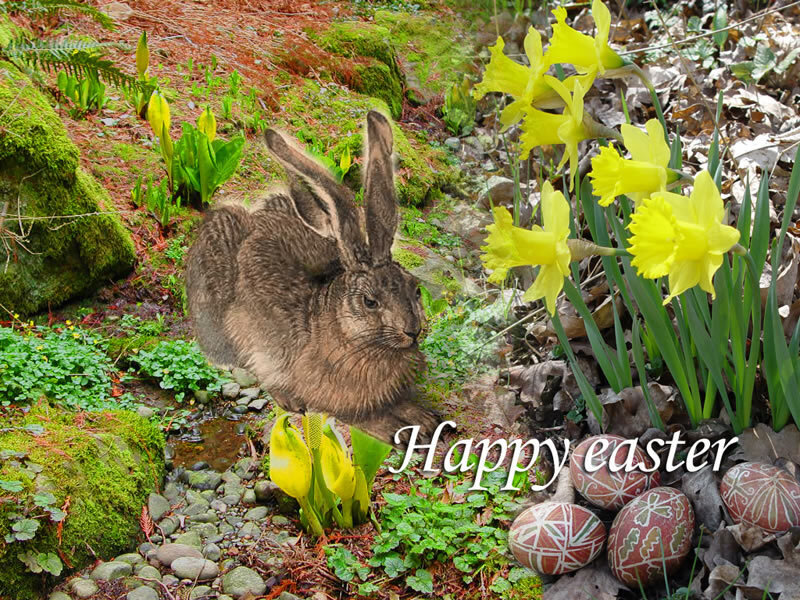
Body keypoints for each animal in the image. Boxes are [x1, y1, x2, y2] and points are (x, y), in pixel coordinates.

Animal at [185, 110, 439, 445]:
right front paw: (399, 430)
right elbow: (365, 416)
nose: (413, 331)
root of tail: (255, 220)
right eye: (370, 302)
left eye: (416, 290)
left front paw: (424, 418)